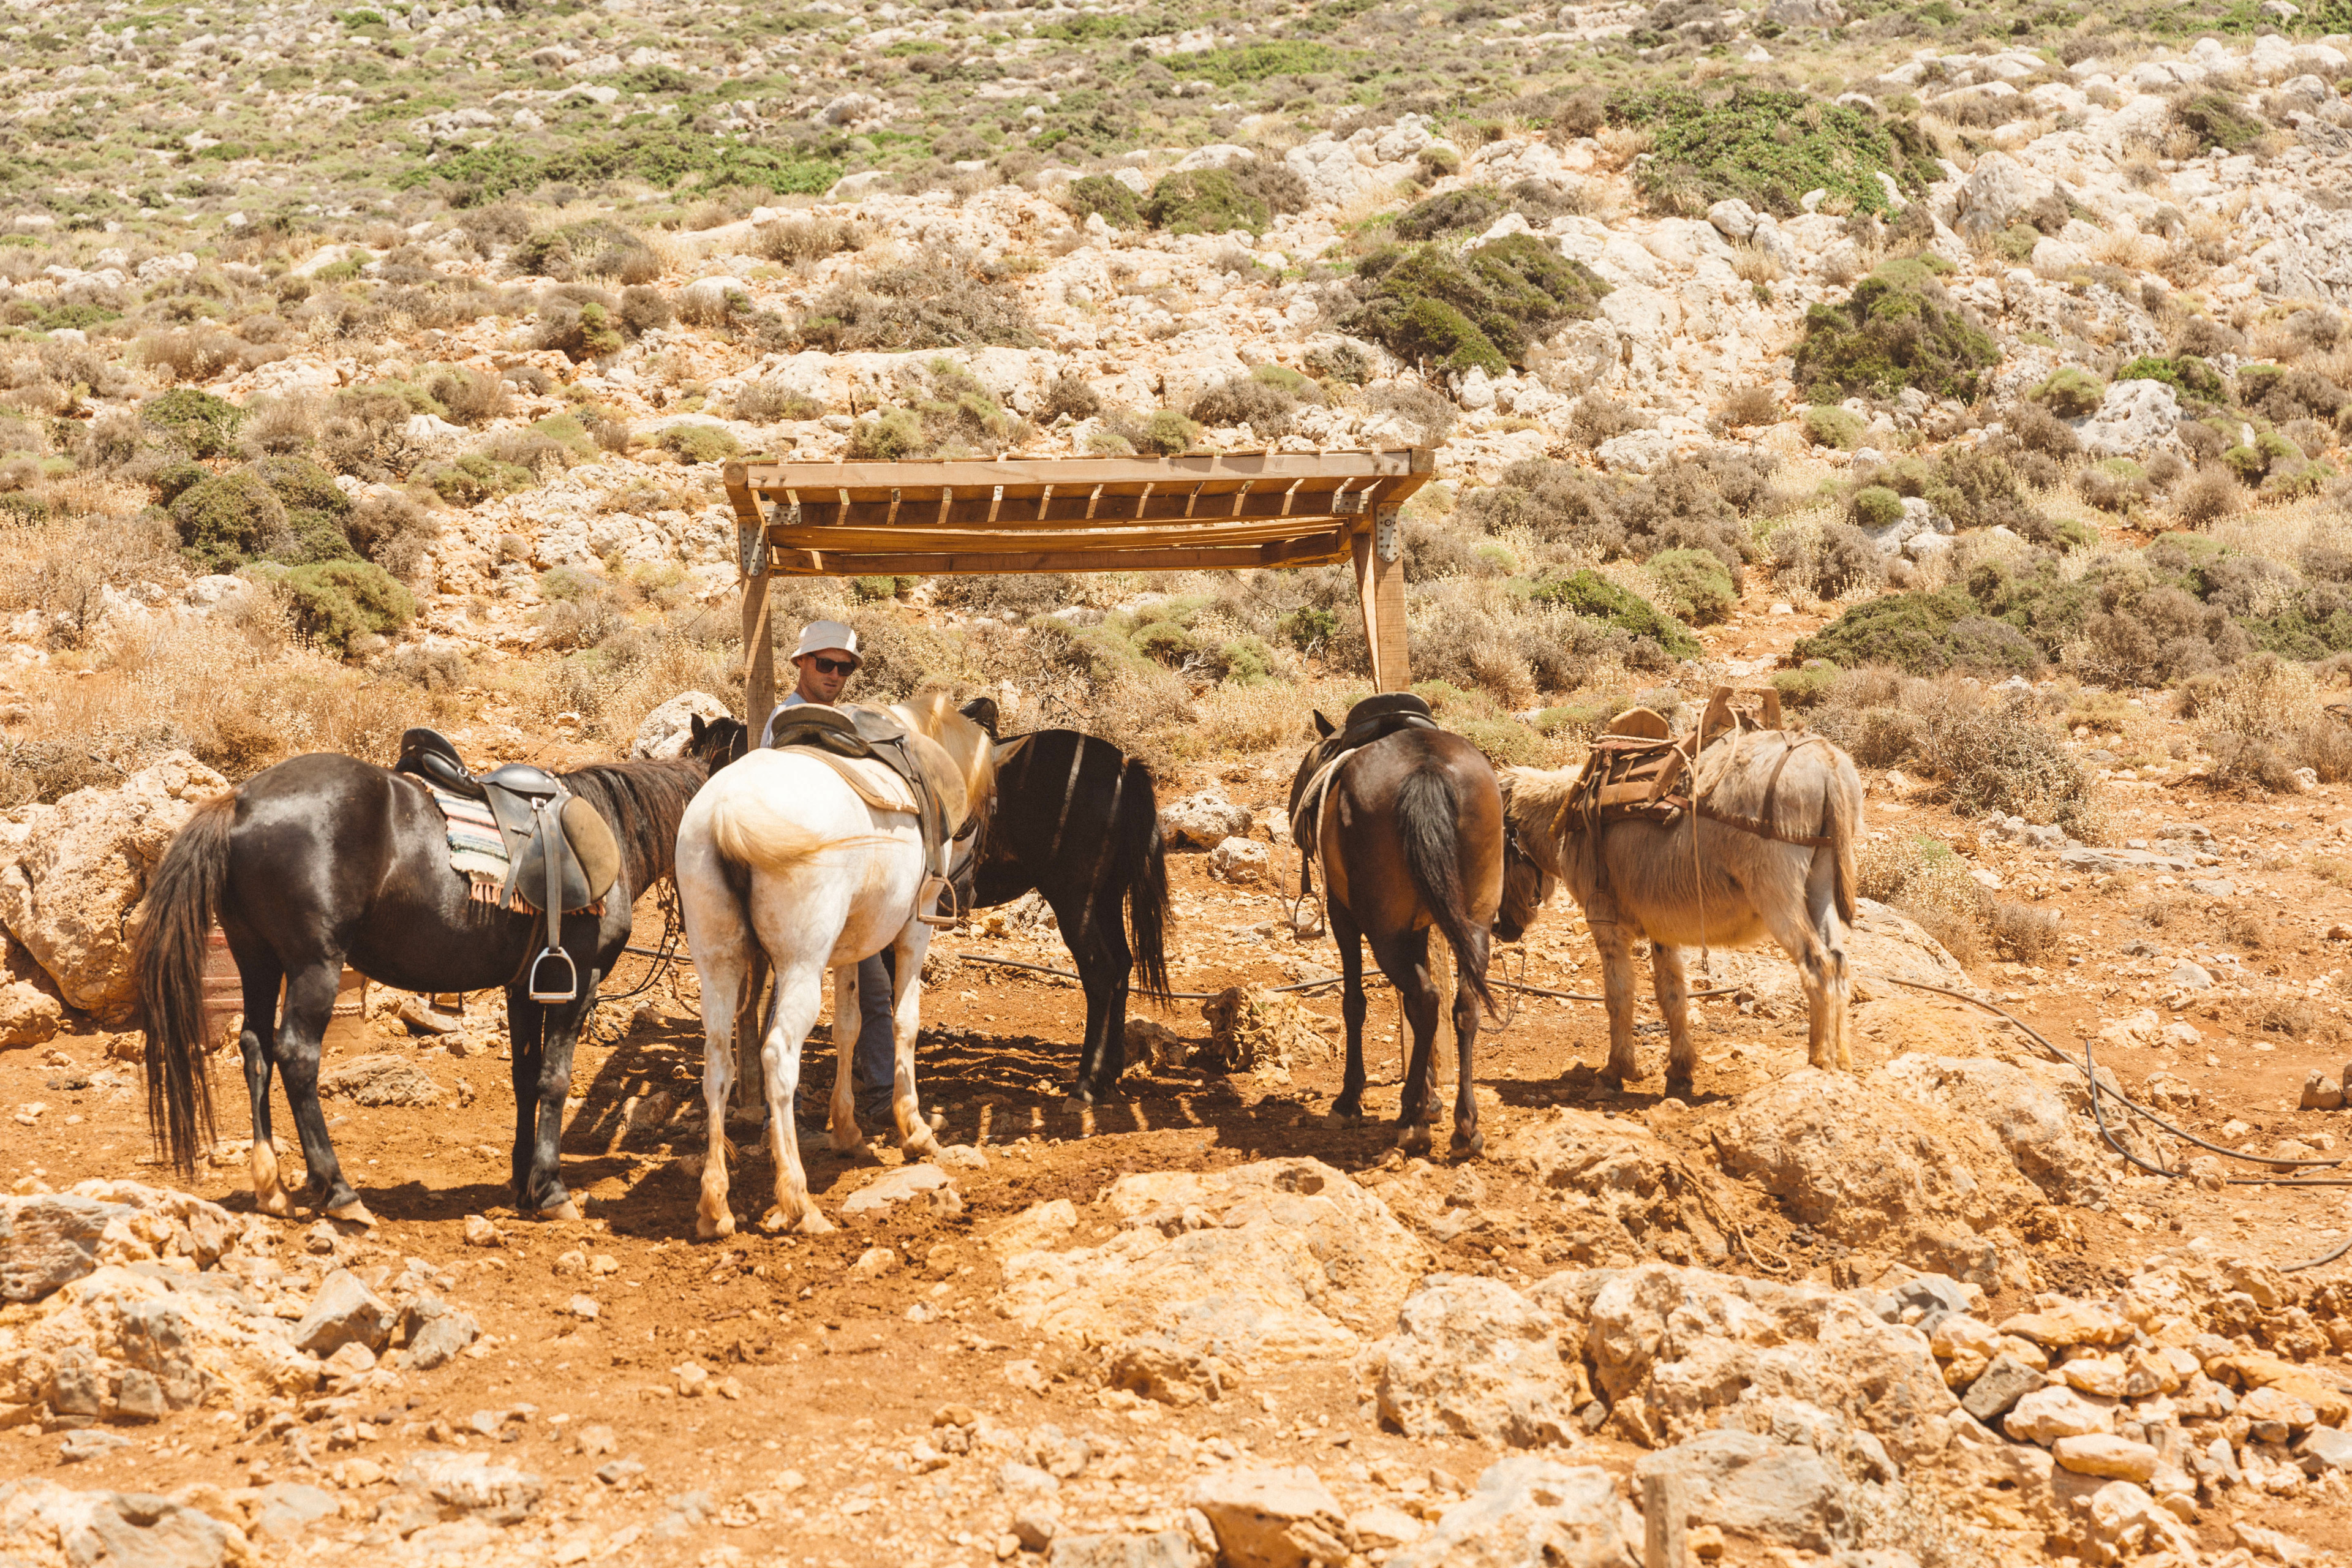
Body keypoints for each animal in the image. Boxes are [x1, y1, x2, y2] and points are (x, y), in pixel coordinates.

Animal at [137, 728, 720, 1222]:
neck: (609, 830)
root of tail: (240, 802)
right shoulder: (576, 983)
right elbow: (554, 1080)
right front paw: (552, 1190)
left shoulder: (522, 988)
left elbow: (525, 1077)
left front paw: (523, 1184)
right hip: (313, 965)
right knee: (296, 1057)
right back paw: (339, 1192)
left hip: (256, 958)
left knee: (255, 1048)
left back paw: (273, 1189)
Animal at [677, 696, 997, 1241]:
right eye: (992, 807)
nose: (970, 893)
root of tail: (725, 816)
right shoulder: (914, 930)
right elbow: (904, 1023)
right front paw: (914, 1130)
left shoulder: (850, 949)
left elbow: (849, 1027)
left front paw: (847, 1130)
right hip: (799, 969)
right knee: (778, 1057)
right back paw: (798, 1200)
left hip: (719, 968)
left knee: (718, 1064)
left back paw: (714, 1205)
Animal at [696, 700, 1176, 1104]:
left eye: (714, 765)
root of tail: (1122, 766)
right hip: (1105, 898)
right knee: (1123, 967)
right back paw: (1110, 1071)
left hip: (1077, 900)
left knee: (1101, 973)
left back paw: (1088, 1081)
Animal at [1289, 696, 1505, 1152]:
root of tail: (1427, 767)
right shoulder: (1419, 927)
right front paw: (1432, 1097)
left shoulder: (1345, 917)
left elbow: (1355, 1003)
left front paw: (1350, 1100)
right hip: (1475, 923)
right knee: (1462, 1004)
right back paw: (1465, 1124)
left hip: (1381, 929)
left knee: (1426, 998)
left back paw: (1410, 1119)